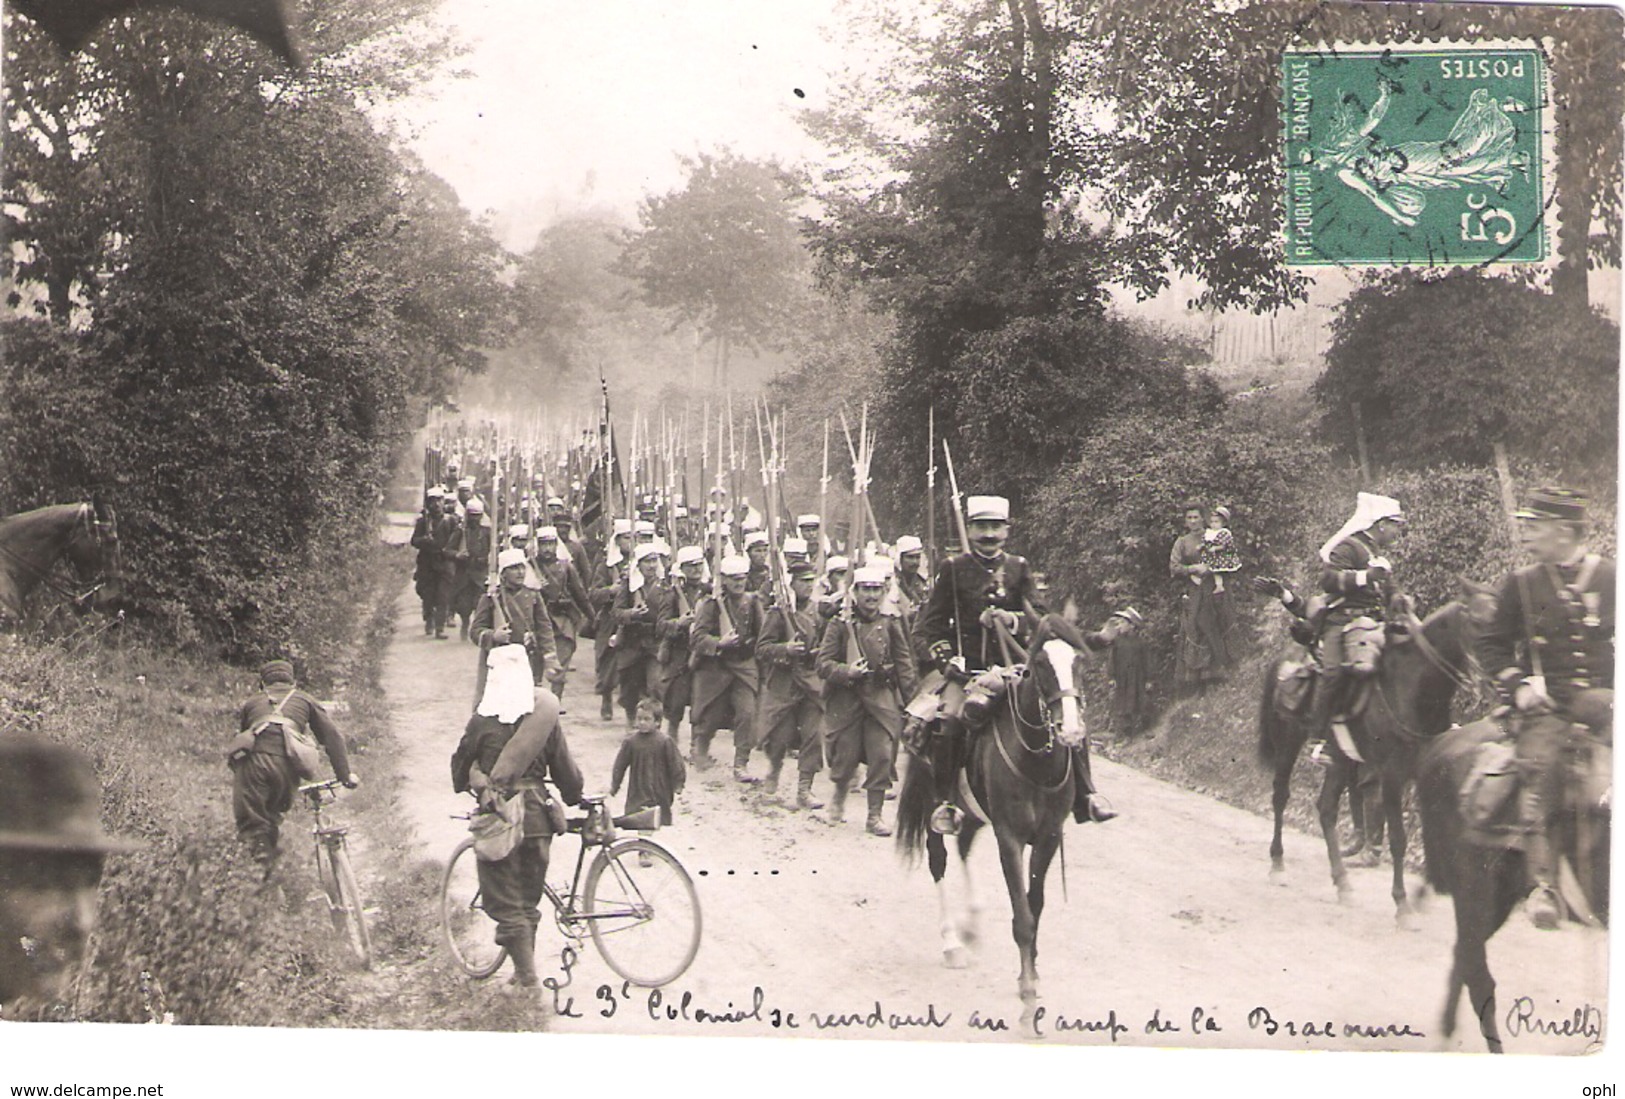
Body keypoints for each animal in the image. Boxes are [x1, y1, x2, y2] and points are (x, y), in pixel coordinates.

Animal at [903, 617, 1092, 1040]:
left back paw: (972, 925)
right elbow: (1022, 918)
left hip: (972, 812)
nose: (1072, 732)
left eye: (1079, 662)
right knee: (939, 861)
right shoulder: (1010, 838)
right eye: (1040, 665)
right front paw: (1028, 1004)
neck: (1036, 761)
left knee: (963, 847)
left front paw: (1030, 977)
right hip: (934, 801)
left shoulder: (1048, 839)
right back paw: (952, 943)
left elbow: (1035, 909)